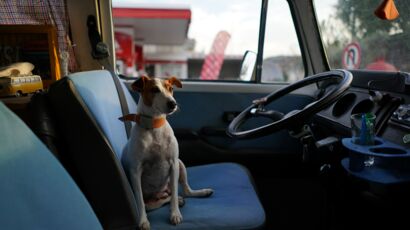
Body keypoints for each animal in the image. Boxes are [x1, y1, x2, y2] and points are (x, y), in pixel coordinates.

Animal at [120, 76, 213, 230]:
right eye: (154, 89)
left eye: (171, 89)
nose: (173, 103)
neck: (154, 126)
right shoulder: (135, 172)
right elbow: (139, 202)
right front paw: (143, 221)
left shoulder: (173, 164)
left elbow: (175, 192)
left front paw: (175, 213)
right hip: (152, 199)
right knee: (158, 201)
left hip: (180, 164)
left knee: (184, 191)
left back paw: (200, 193)